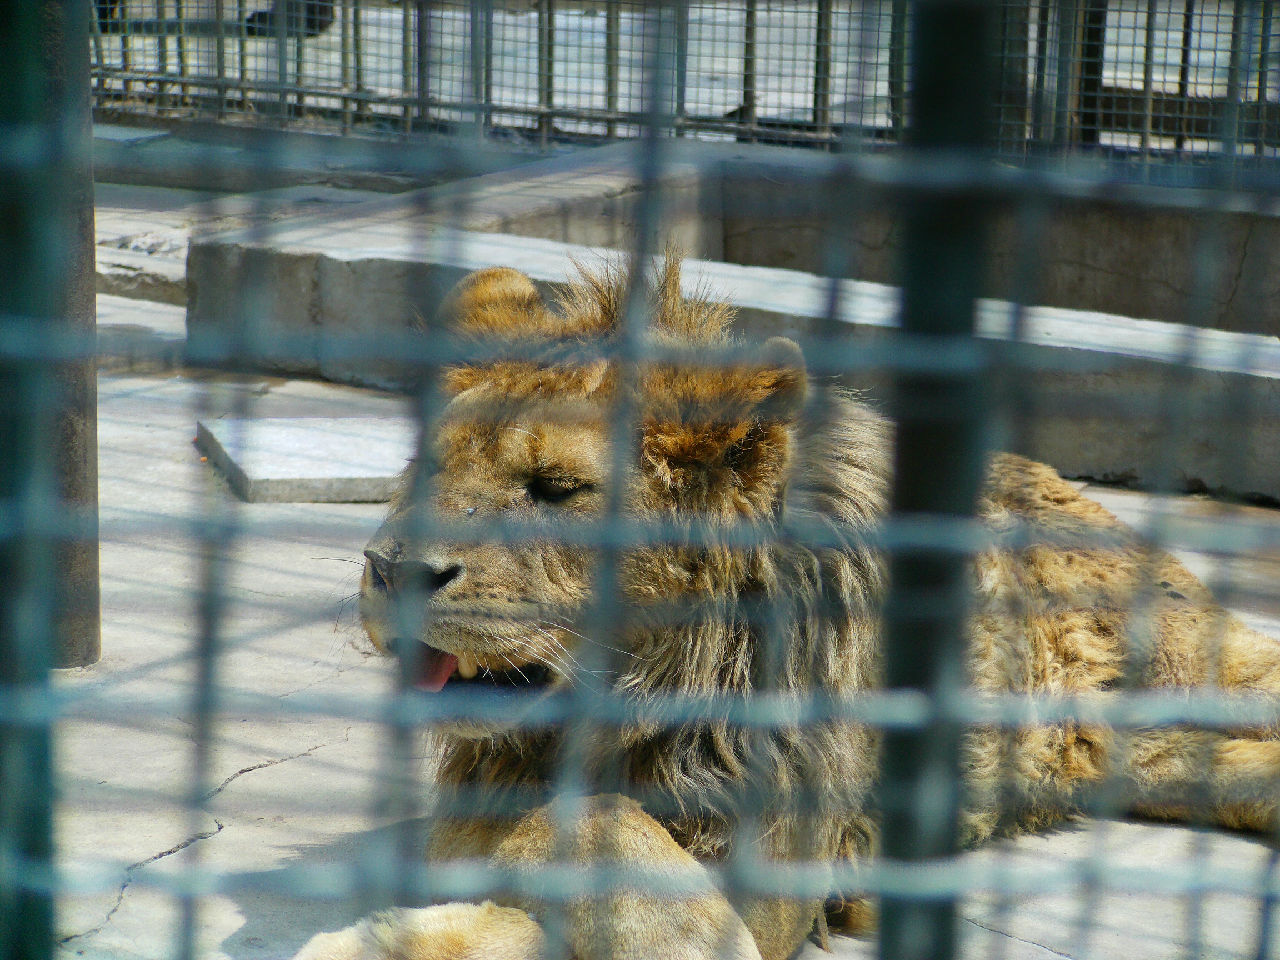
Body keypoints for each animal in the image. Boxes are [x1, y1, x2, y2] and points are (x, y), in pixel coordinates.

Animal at [294, 257, 1280, 960]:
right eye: (431, 469)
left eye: (556, 489)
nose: (389, 568)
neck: (627, 708)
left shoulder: (767, 865)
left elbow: (595, 825)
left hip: (1203, 669)